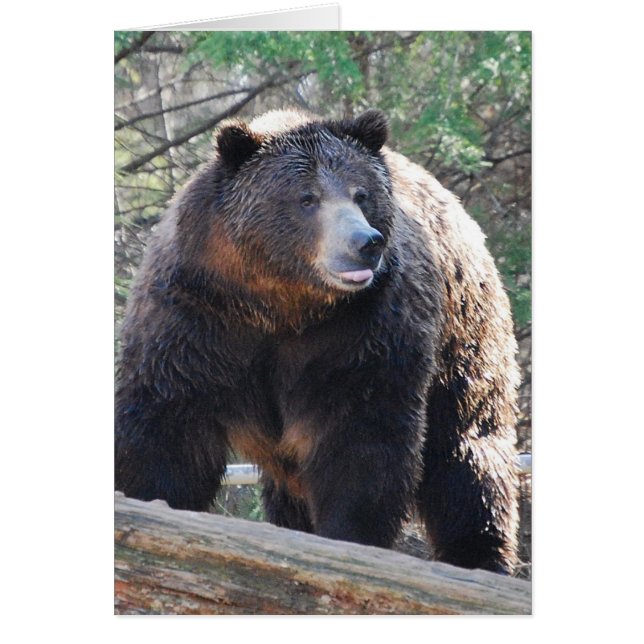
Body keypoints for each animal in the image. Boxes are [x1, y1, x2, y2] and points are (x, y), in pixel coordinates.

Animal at [115, 108, 521, 575]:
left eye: (361, 194)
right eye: (307, 198)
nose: (365, 242)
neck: (282, 303)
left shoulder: (362, 331)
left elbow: (360, 440)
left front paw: (349, 537)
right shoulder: (196, 319)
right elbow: (165, 428)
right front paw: (148, 503)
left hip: (465, 339)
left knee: (467, 454)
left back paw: (479, 555)